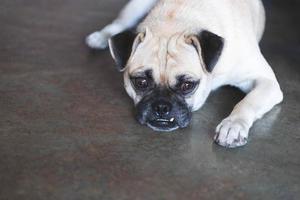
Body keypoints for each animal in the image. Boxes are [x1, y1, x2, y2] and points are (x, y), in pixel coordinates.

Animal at [85, 0, 282, 147]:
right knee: (119, 23)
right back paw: (100, 37)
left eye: (187, 85)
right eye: (141, 82)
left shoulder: (267, 82)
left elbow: (248, 102)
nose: (161, 106)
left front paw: (233, 125)